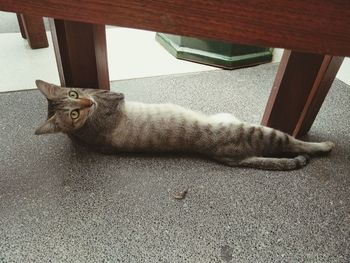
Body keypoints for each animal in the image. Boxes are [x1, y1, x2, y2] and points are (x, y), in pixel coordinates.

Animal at [34, 80, 334, 171]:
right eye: (73, 114)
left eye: (73, 96)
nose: (86, 103)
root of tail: (232, 158)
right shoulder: (112, 99)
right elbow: (110, 92)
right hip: (258, 132)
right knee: (293, 142)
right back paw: (323, 145)